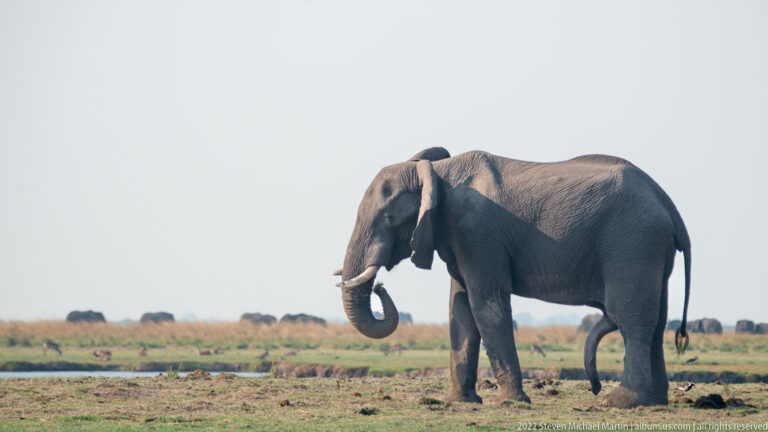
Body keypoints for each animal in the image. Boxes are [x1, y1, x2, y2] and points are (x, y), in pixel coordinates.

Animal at [335, 147, 691, 408]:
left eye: (388, 218)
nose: (380, 287)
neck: (437, 172)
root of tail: (668, 205)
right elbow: (459, 307)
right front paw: (460, 402)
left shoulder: (478, 233)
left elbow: (485, 304)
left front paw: (511, 403)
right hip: (650, 249)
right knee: (656, 320)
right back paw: (654, 402)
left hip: (632, 243)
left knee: (630, 318)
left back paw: (620, 402)